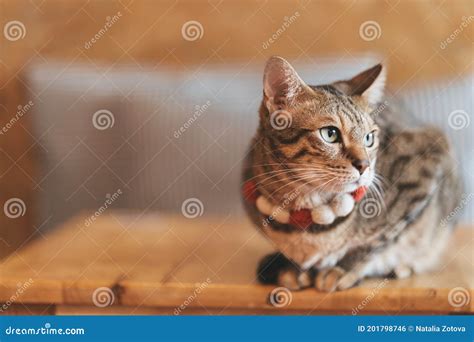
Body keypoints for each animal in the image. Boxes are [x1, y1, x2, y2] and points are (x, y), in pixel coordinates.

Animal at [243, 55, 462, 292]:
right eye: (330, 134)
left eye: (369, 138)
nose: (364, 165)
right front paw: (292, 267)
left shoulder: (424, 170)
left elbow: (377, 241)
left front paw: (343, 268)